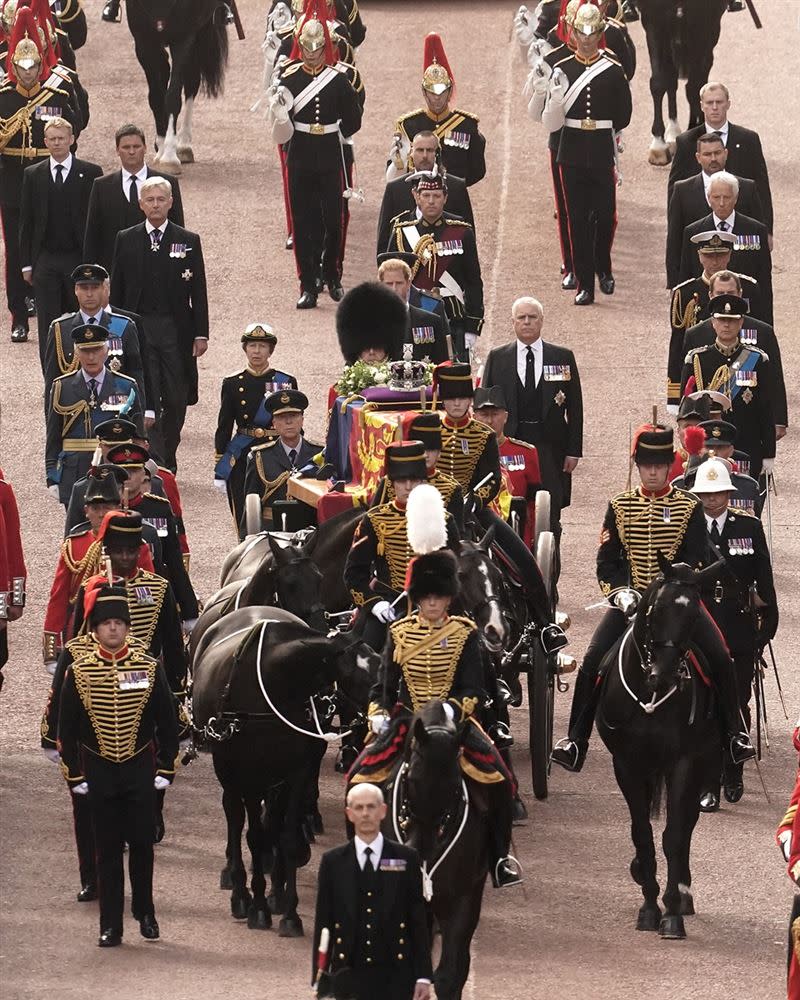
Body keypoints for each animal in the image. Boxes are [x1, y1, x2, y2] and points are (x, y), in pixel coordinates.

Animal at [125, 0, 230, 173]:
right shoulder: (144, 43)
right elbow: (156, 97)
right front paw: (161, 148)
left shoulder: (183, 39)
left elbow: (173, 96)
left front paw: (169, 156)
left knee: (191, 82)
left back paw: (183, 145)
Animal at [192, 600, 376, 936]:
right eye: (355, 674)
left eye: (379, 661)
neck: (275, 685)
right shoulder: (250, 773)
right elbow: (253, 835)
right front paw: (257, 906)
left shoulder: (295, 772)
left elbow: (285, 836)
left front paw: (288, 910)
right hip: (229, 768)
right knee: (234, 817)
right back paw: (239, 888)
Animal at [596, 556, 720, 936]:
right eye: (657, 609)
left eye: (695, 615)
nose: (662, 676)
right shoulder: (627, 763)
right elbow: (642, 832)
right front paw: (649, 906)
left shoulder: (685, 761)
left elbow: (674, 835)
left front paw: (671, 912)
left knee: (689, 820)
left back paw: (684, 892)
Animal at [636, 0, 724, 162]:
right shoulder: (652, 19)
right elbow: (658, 83)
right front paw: (658, 145)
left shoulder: (703, 24)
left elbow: (695, 87)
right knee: (671, 80)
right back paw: (673, 133)